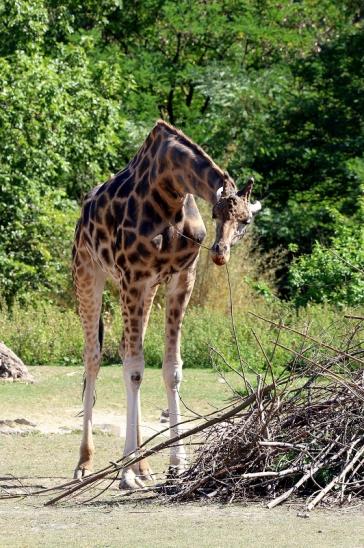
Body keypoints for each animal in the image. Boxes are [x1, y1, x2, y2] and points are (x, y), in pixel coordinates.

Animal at [72, 120, 262, 488]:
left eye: (245, 221)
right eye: (216, 211)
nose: (219, 252)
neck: (171, 188)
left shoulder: (180, 278)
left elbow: (171, 369)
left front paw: (176, 465)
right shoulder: (133, 276)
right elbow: (134, 370)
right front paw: (126, 473)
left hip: (144, 290)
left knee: (123, 348)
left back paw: (143, 467)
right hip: (88, 273)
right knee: (94, 357)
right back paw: (85, 464)